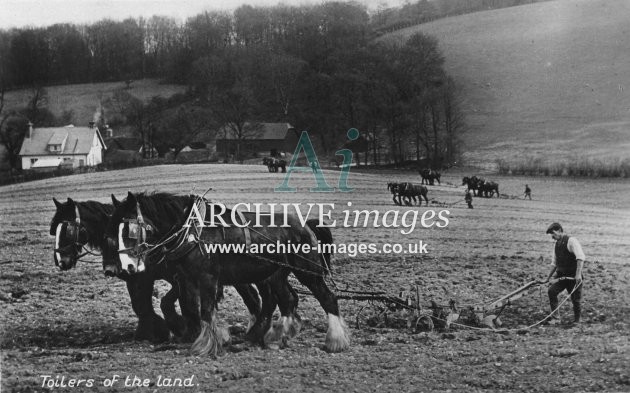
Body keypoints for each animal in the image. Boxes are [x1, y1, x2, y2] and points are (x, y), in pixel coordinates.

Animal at [105, 191, 350, 356]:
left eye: (129, 230)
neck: (192, 231)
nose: (127, 267)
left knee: (327, 298)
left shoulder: (208, 278)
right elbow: (191, 309)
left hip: (309, 271)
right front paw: (199, 336)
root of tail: (306, 223)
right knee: (287, 300)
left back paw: (335, 340)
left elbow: (205, 310)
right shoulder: (187, 279)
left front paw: (206, 344)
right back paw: (275, 335)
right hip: (276, 275)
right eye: (111, 233)